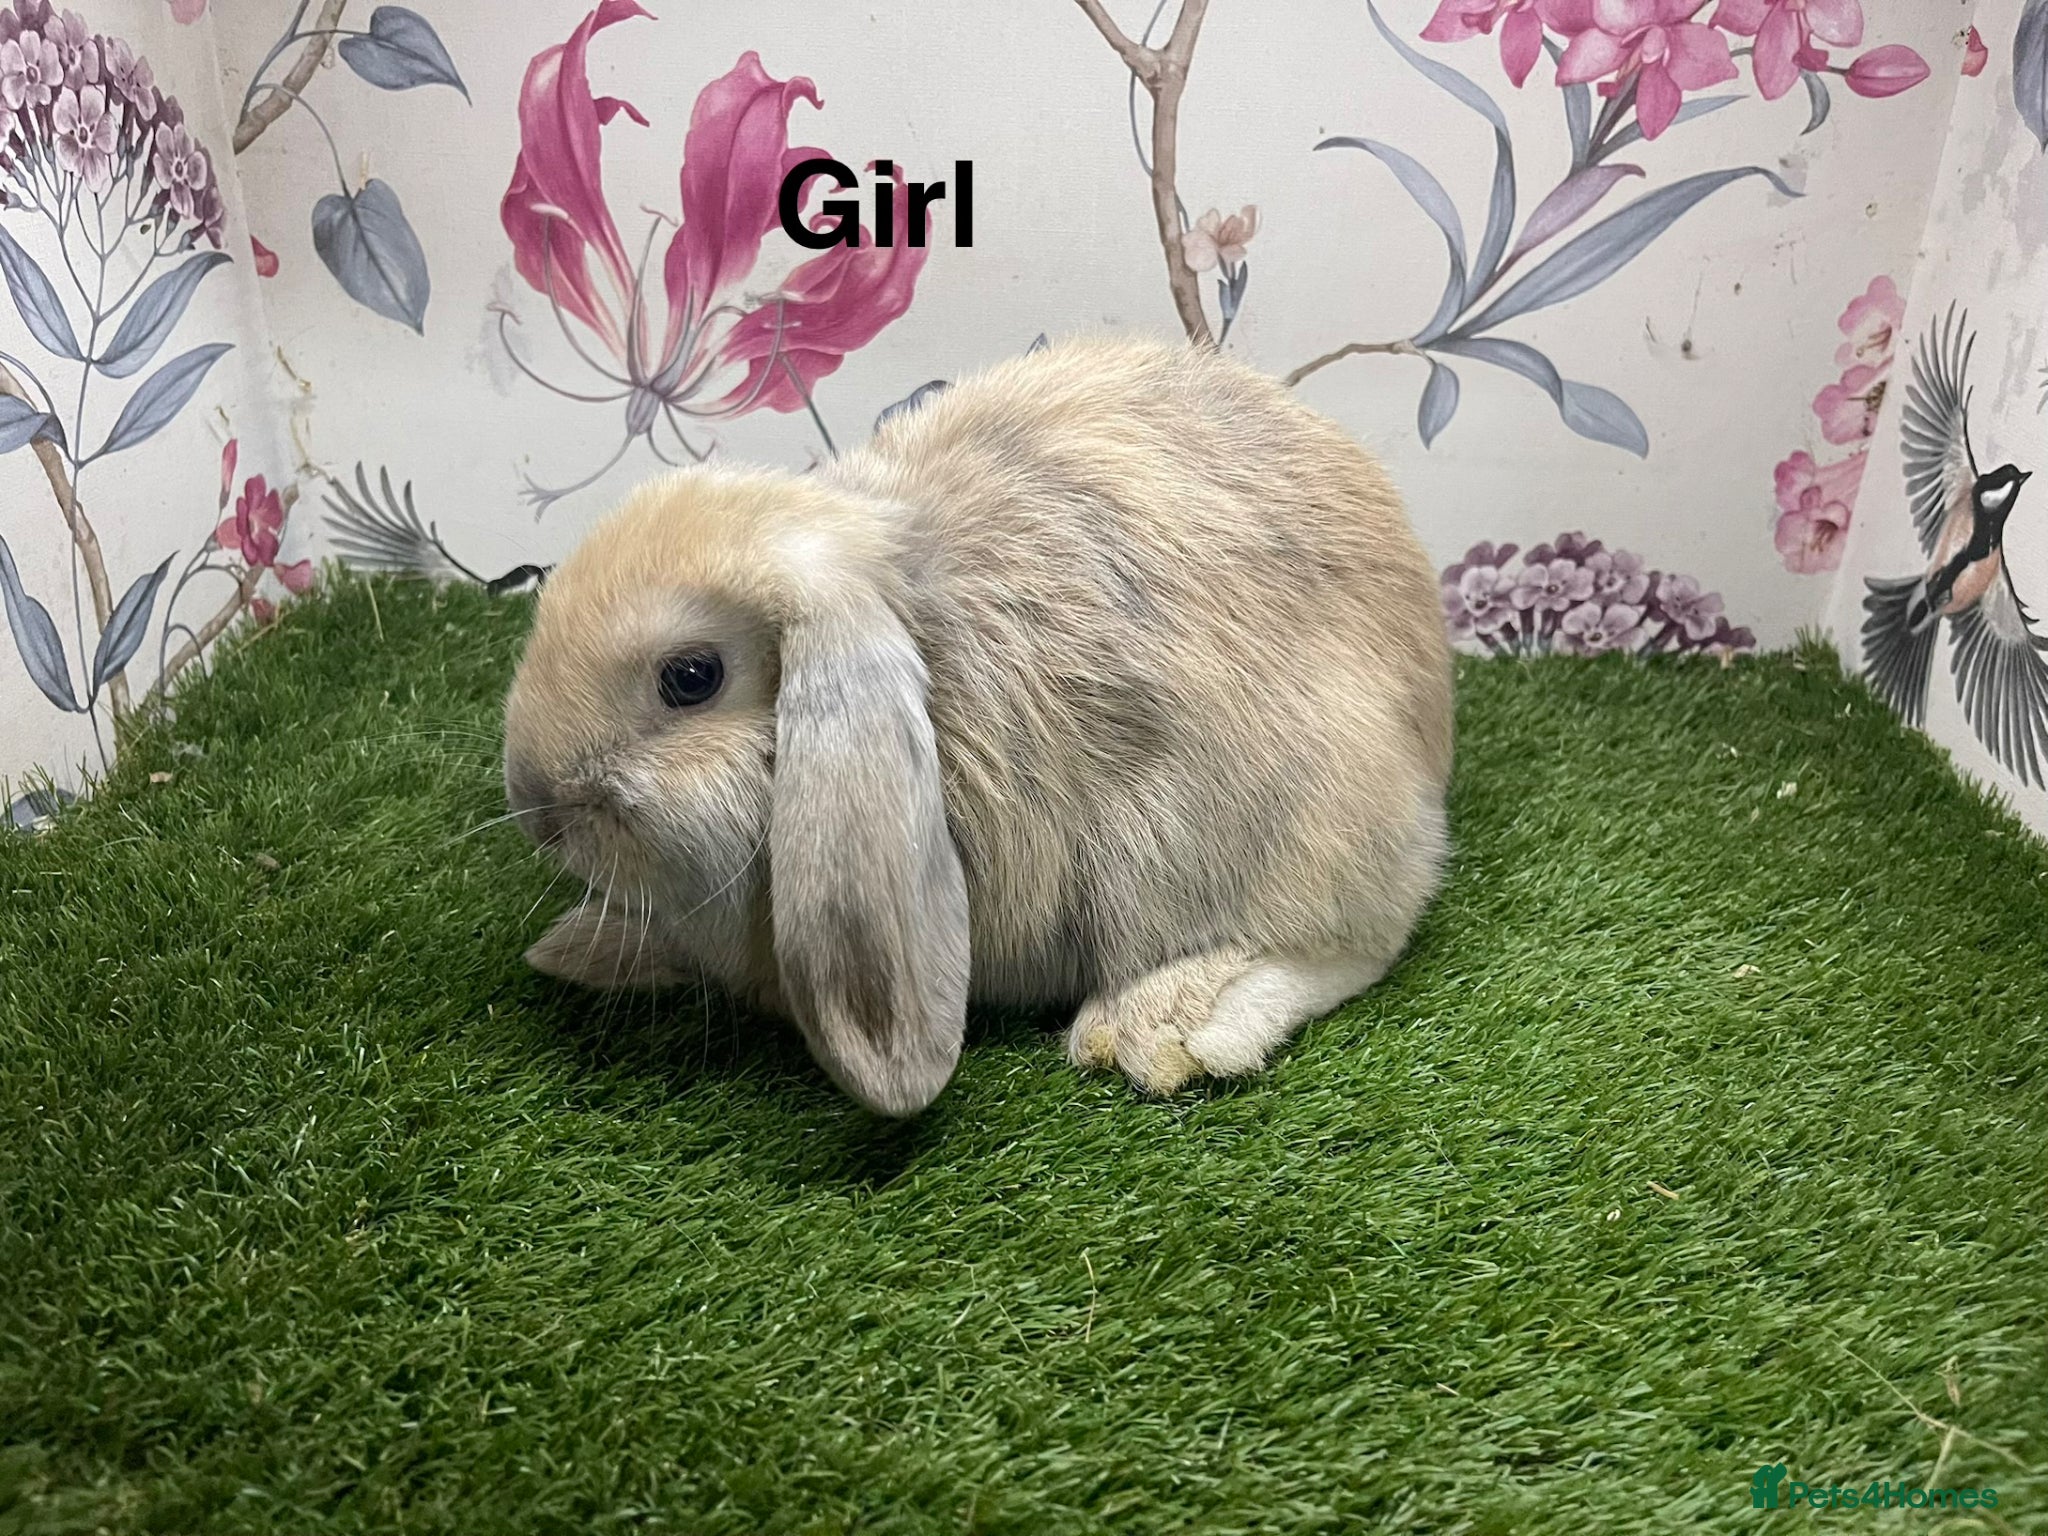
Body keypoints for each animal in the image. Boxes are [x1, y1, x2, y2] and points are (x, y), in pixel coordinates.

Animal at [501, 333, 1454, 1116]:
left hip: (1292, 811)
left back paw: (1159, 1024)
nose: (539, 813)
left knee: (1359, 940)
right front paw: (584, 947)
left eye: (691, 678)